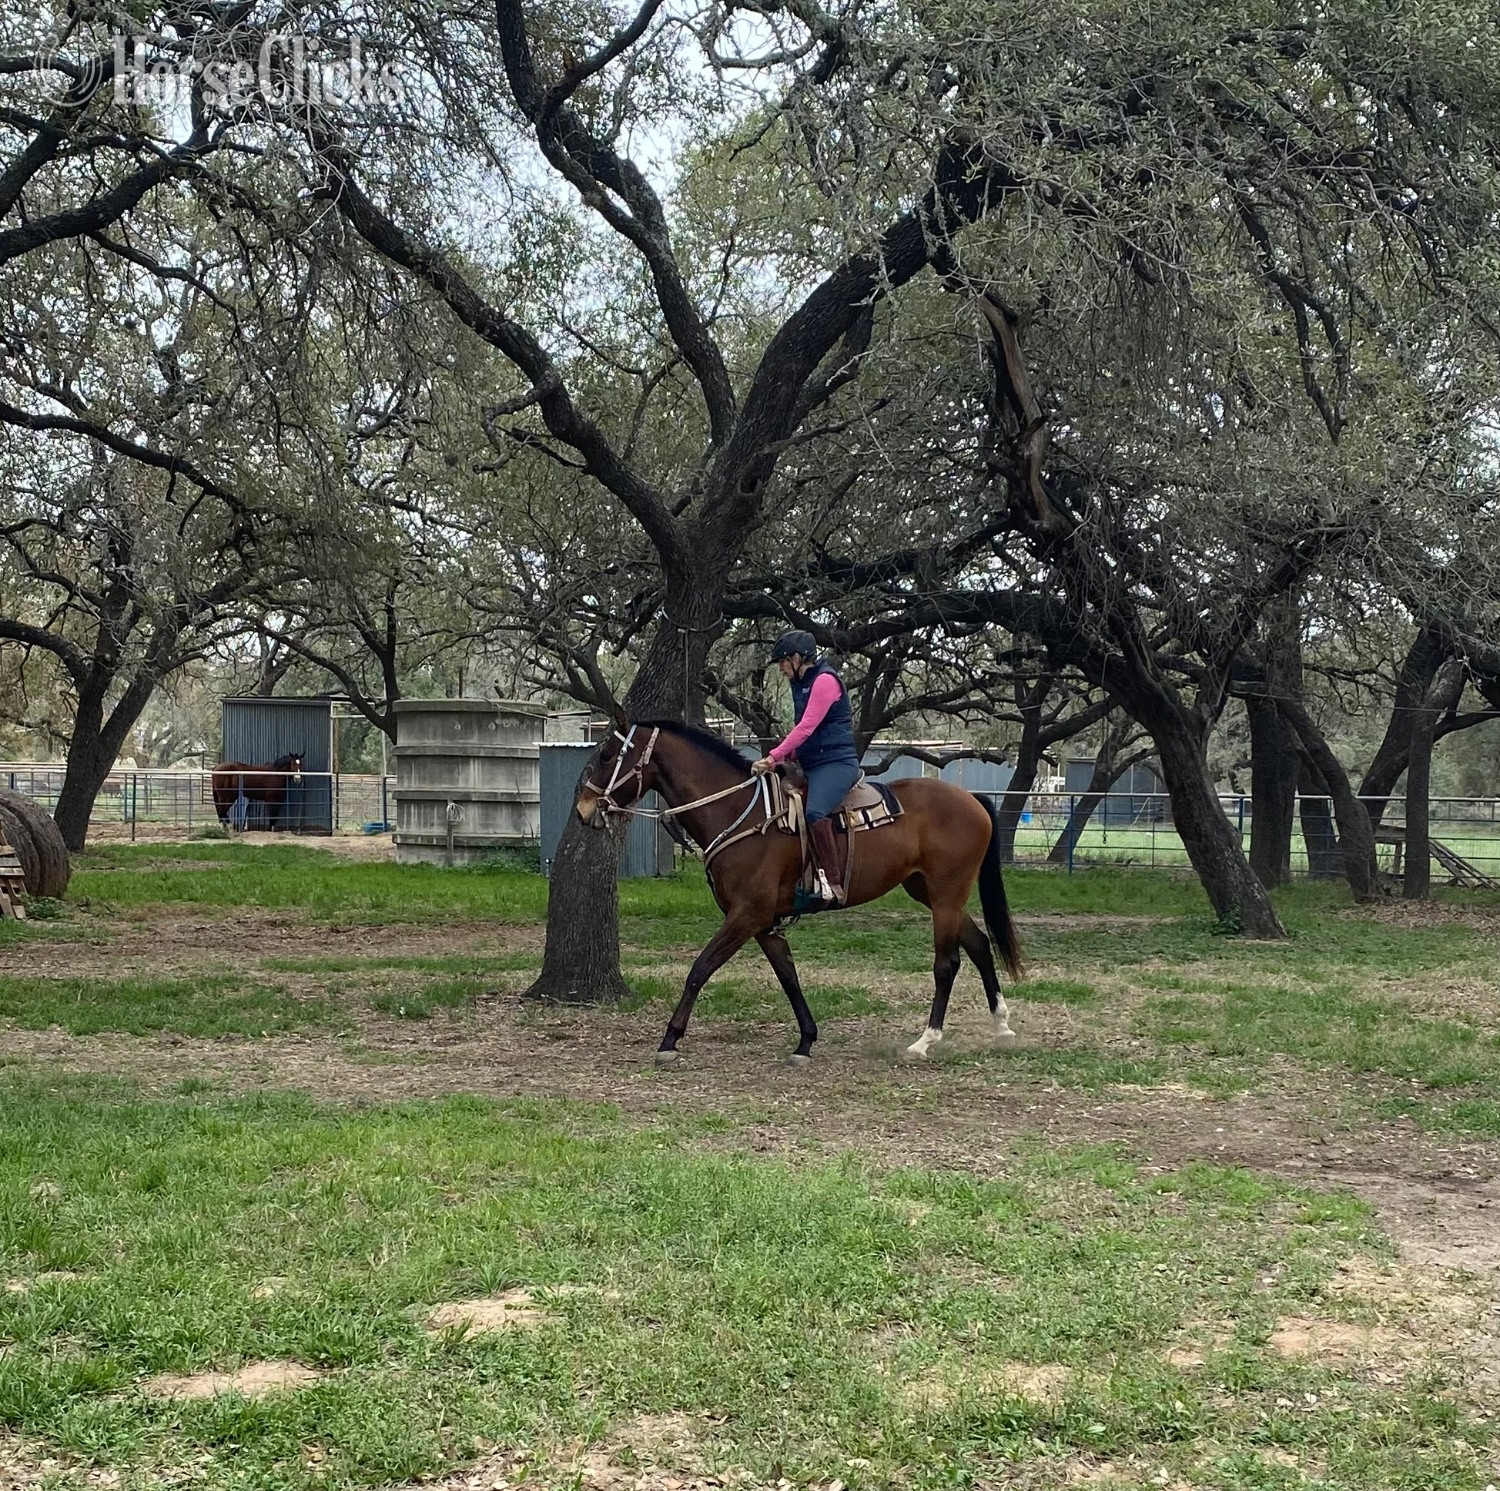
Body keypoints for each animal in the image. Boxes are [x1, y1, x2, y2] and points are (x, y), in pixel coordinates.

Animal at [575, 715, 1023, 1065]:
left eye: (606, 755)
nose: (582, 810)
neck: (742, 814)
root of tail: (972, 799)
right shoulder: (764, 923)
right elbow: (788, 976)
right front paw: (806, 1041)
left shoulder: (746, 915)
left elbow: (700, 968)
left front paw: (670, 1039)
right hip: (929, 891)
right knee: (979, 943)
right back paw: (1001, 1027)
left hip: (946, 892)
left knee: (947, 963)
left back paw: (925, 1041)